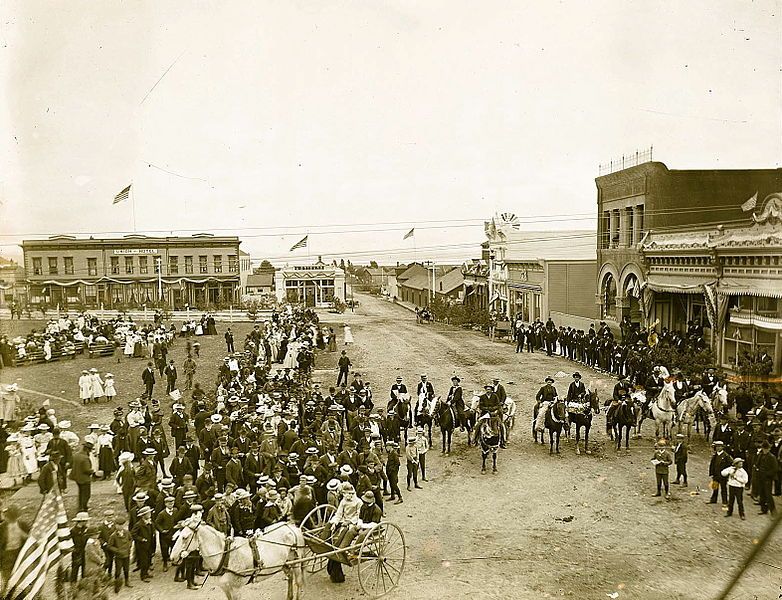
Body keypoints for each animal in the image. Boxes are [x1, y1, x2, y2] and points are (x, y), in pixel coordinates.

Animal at [172, 516, 306, 596]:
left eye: (185, 537)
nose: (172, 557)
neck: (226, 556)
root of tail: (291, 527)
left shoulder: (236, 589)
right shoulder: (226, 588)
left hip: (296, 561)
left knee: (298, 582)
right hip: (285, 563)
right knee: (290, 577)